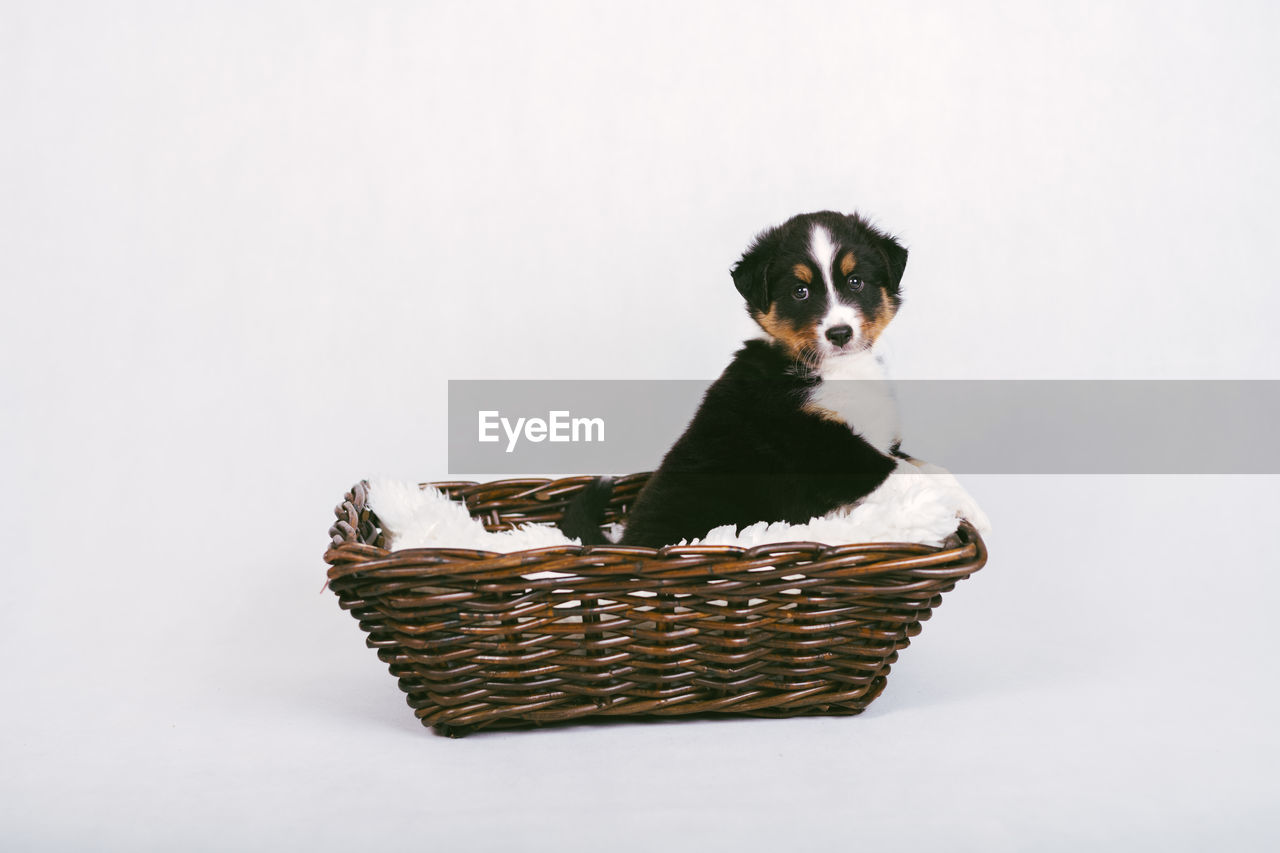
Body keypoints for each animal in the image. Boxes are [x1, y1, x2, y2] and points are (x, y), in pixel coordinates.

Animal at [563, 208, 988, 548]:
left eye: (855, 282)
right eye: (800, 291)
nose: (839, 334)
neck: (834, 370)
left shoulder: (879, 438)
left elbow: (930, 467)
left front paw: (974, 510)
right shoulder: (822, 447)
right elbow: (912, 475)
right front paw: (956, 510)